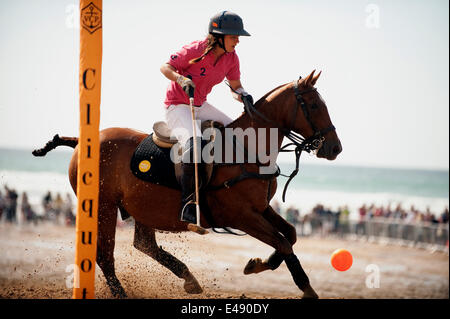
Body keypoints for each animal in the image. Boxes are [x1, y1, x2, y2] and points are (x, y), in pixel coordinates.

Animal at [32, 70, 342, 300]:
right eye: (315, 105)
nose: (335, 148)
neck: (247, 149)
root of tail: (79, 142)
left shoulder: (260, 208)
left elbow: (290, 235)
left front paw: (257, 264)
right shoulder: (240, 215)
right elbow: (282, 241)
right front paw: (304, 286)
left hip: (142, 207)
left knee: (144, 245)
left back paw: (189, 279)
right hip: (104, 207)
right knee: (105, 256)